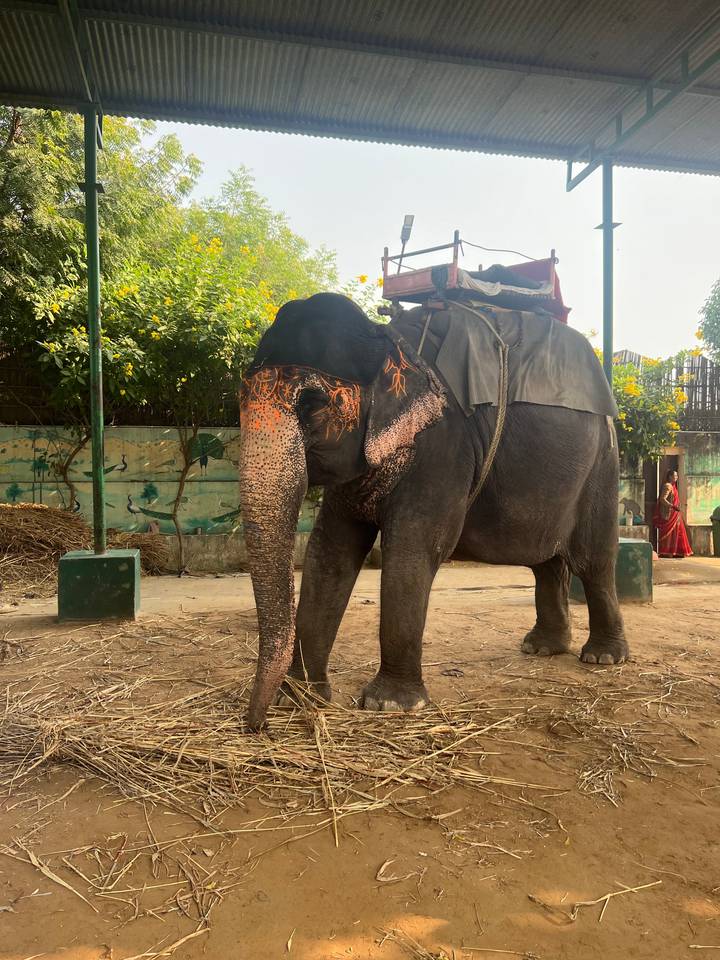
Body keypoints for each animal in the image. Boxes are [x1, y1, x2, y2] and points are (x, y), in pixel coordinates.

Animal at [239, 293, 626, 731]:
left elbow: (414, 548)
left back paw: (602, 657)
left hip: (603, 464)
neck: (390, 342)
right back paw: (542, 649)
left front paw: (389, 705)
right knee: (545, 561)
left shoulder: (443, 448)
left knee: (593, 560)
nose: (256, 725)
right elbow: (330, 551)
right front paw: (298, 699)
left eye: (313, 403)